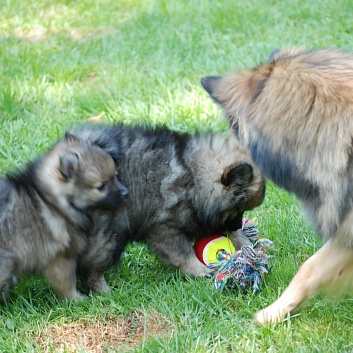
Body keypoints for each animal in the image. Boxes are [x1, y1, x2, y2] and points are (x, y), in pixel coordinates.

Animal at [0, 133, 126, 298]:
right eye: (102, 186)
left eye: (116, 176)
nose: (126, 192)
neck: (52, 200)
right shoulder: (61, 257)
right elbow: (66, 282)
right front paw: (77, 298)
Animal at [72, 125, 264, 292]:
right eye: (237, 210)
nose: (238, 224)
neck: (192, 175)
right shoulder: (164, 229)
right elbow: (183, 253)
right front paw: (199, 270)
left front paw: (247, 246)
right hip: (108, 236)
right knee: (91, 267)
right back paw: (103, 291)